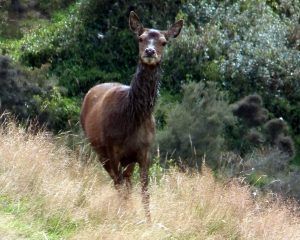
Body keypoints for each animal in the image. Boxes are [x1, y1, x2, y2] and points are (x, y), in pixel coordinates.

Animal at [80, 10, 183, 221]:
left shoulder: (145, 151)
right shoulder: (112, 149)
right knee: (117, 182)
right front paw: (122, 217)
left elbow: (145, 191)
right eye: (140, 38)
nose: (150, 52)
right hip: (99, 150)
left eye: (163, 42)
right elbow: (120, 186)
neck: (132, 119)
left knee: (127, 182)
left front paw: (148, 221)